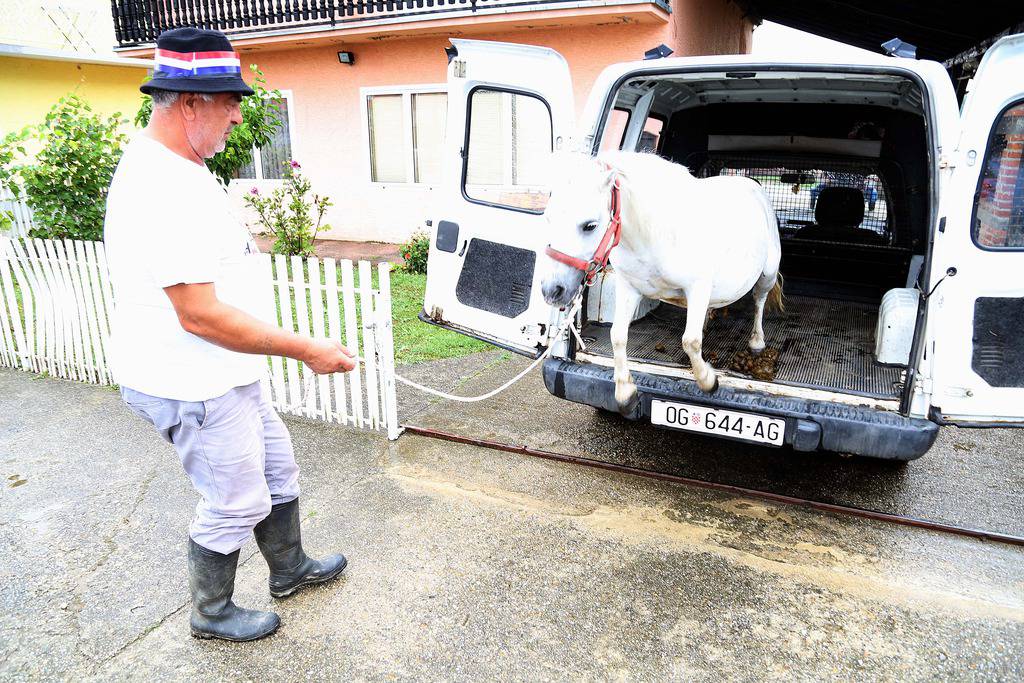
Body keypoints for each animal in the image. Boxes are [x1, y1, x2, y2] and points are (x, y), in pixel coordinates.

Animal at [544, 151, 782, 413]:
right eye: (549, 219)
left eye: (590, 225)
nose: (551, 291)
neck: (655, 234)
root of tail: (754, 184)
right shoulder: (629, 288)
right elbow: (618, 335)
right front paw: (625, 392)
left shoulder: (698, 287)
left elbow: (690, 341)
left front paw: (708, 381)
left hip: (768, 274)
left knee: (759, 301)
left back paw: (757, 341)